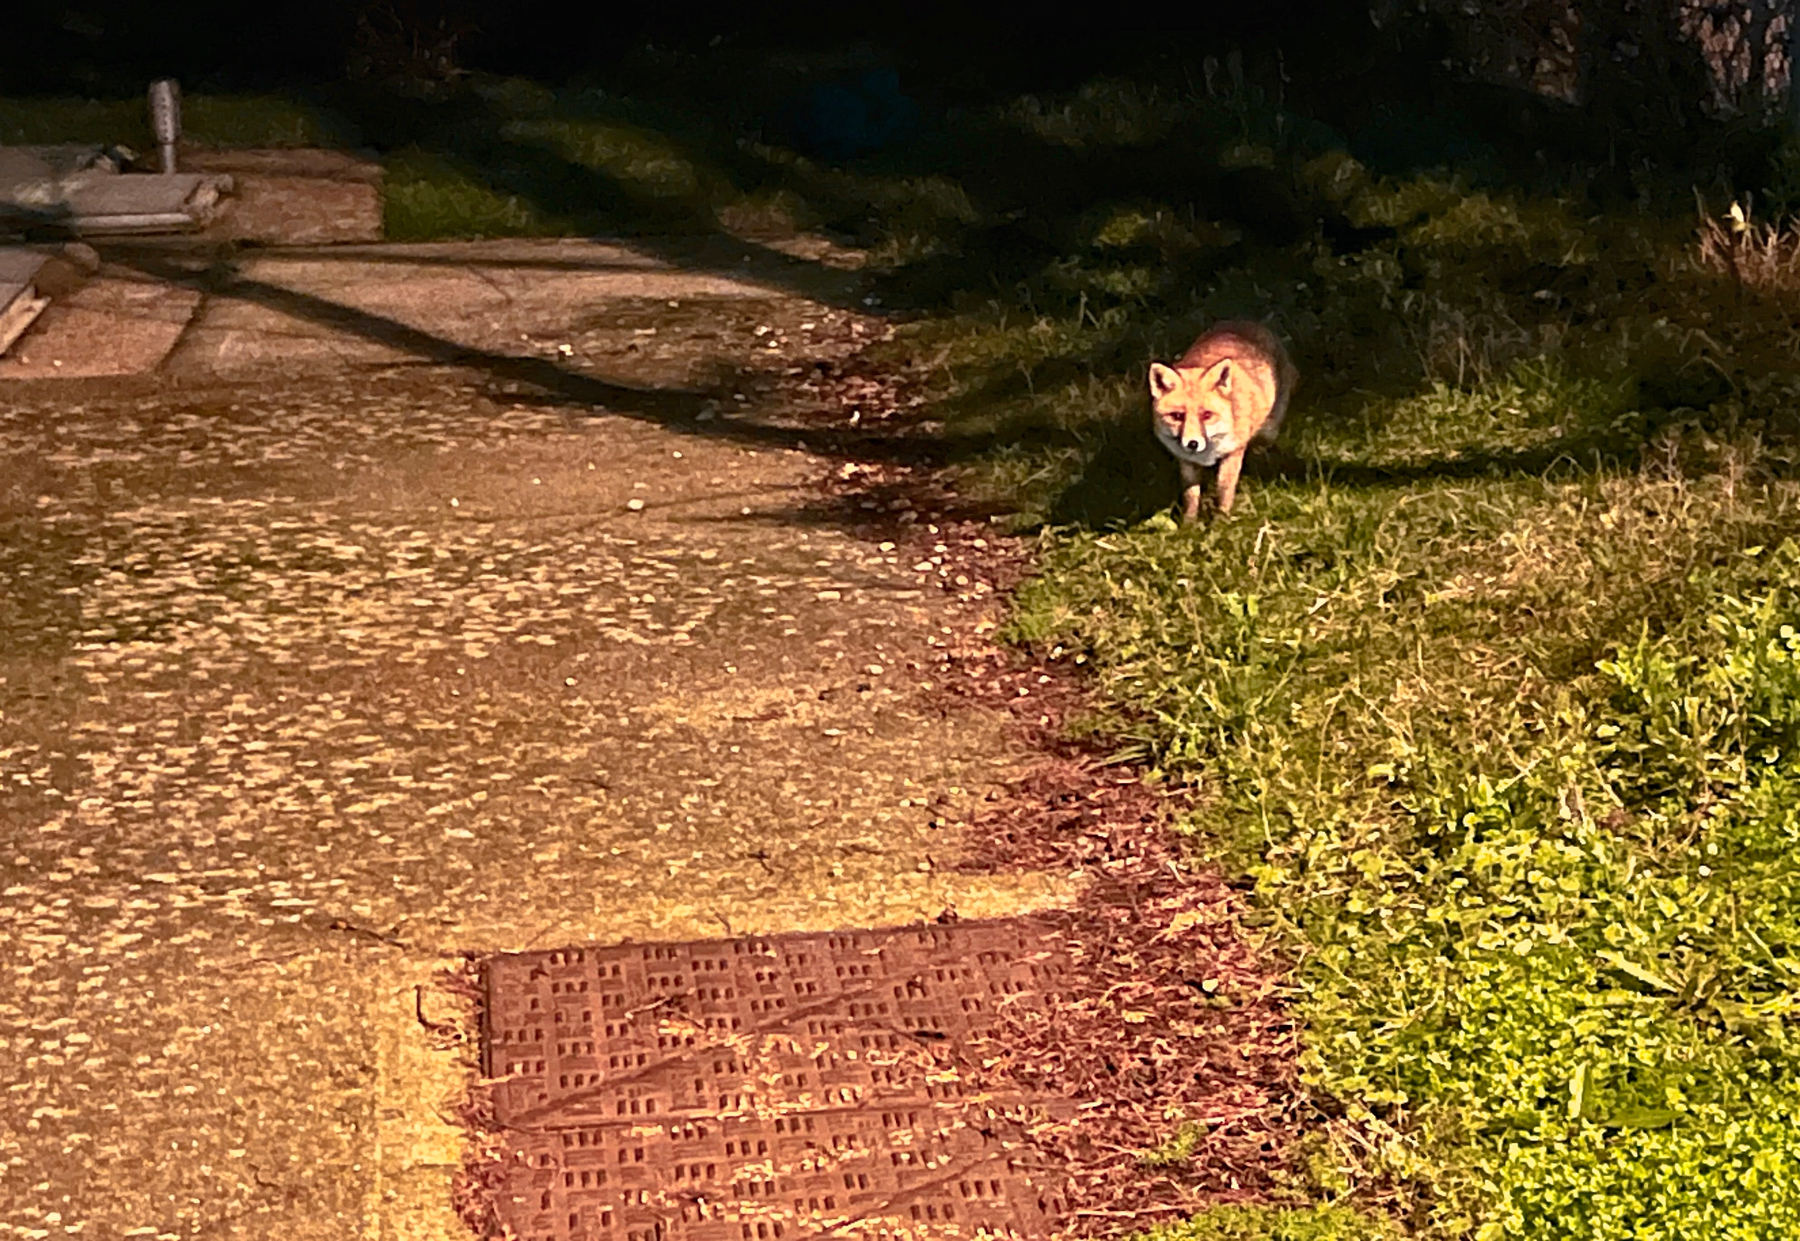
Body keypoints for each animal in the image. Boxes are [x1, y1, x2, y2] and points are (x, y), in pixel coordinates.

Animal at [1149, 321, 1298, 522]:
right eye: (1177, 416)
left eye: (1207, 415)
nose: (1192, 443)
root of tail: (1246, 321)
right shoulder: (1186, 462)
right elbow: (1191, 496)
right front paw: (1188, 524)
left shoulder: (1233, 451)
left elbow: (1224, 490)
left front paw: (1221, 521)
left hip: (1268, 432)